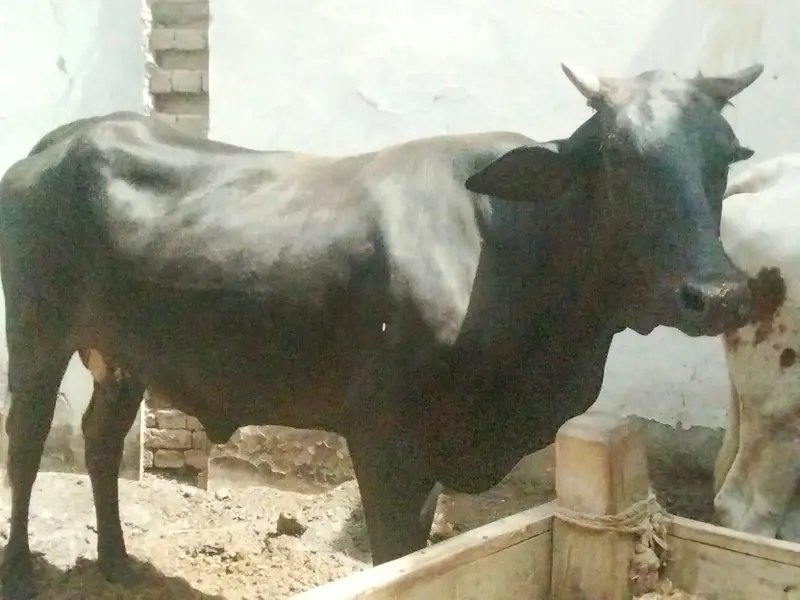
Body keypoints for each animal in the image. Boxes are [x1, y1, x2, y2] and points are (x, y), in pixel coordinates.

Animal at [0, 62, 763, 599]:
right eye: (616, 156)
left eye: (725, 157)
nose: (718, 295)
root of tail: (67, 138)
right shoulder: (385, 435)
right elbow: (399, 555)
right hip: (37, 336)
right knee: (27, 443)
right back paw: (20, 570)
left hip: (122, 353)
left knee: (100, 441)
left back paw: (117, 561)